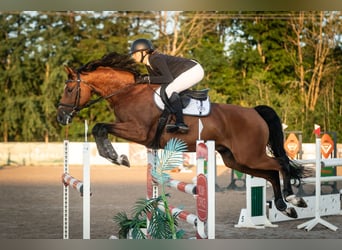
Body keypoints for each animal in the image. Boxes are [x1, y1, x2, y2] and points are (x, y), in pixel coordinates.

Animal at [56, 51, 308, 219]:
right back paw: (285, 206)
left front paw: (117, 157)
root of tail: (254, 112)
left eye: (69, 89)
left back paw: (293, 198)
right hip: (236, 159)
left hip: (250, 155)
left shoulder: (139, 131)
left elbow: (99, 127)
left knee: (280, 164)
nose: (61, 117)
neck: (129, 93)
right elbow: (99, 128)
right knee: (271, 173)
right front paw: (116, 157)